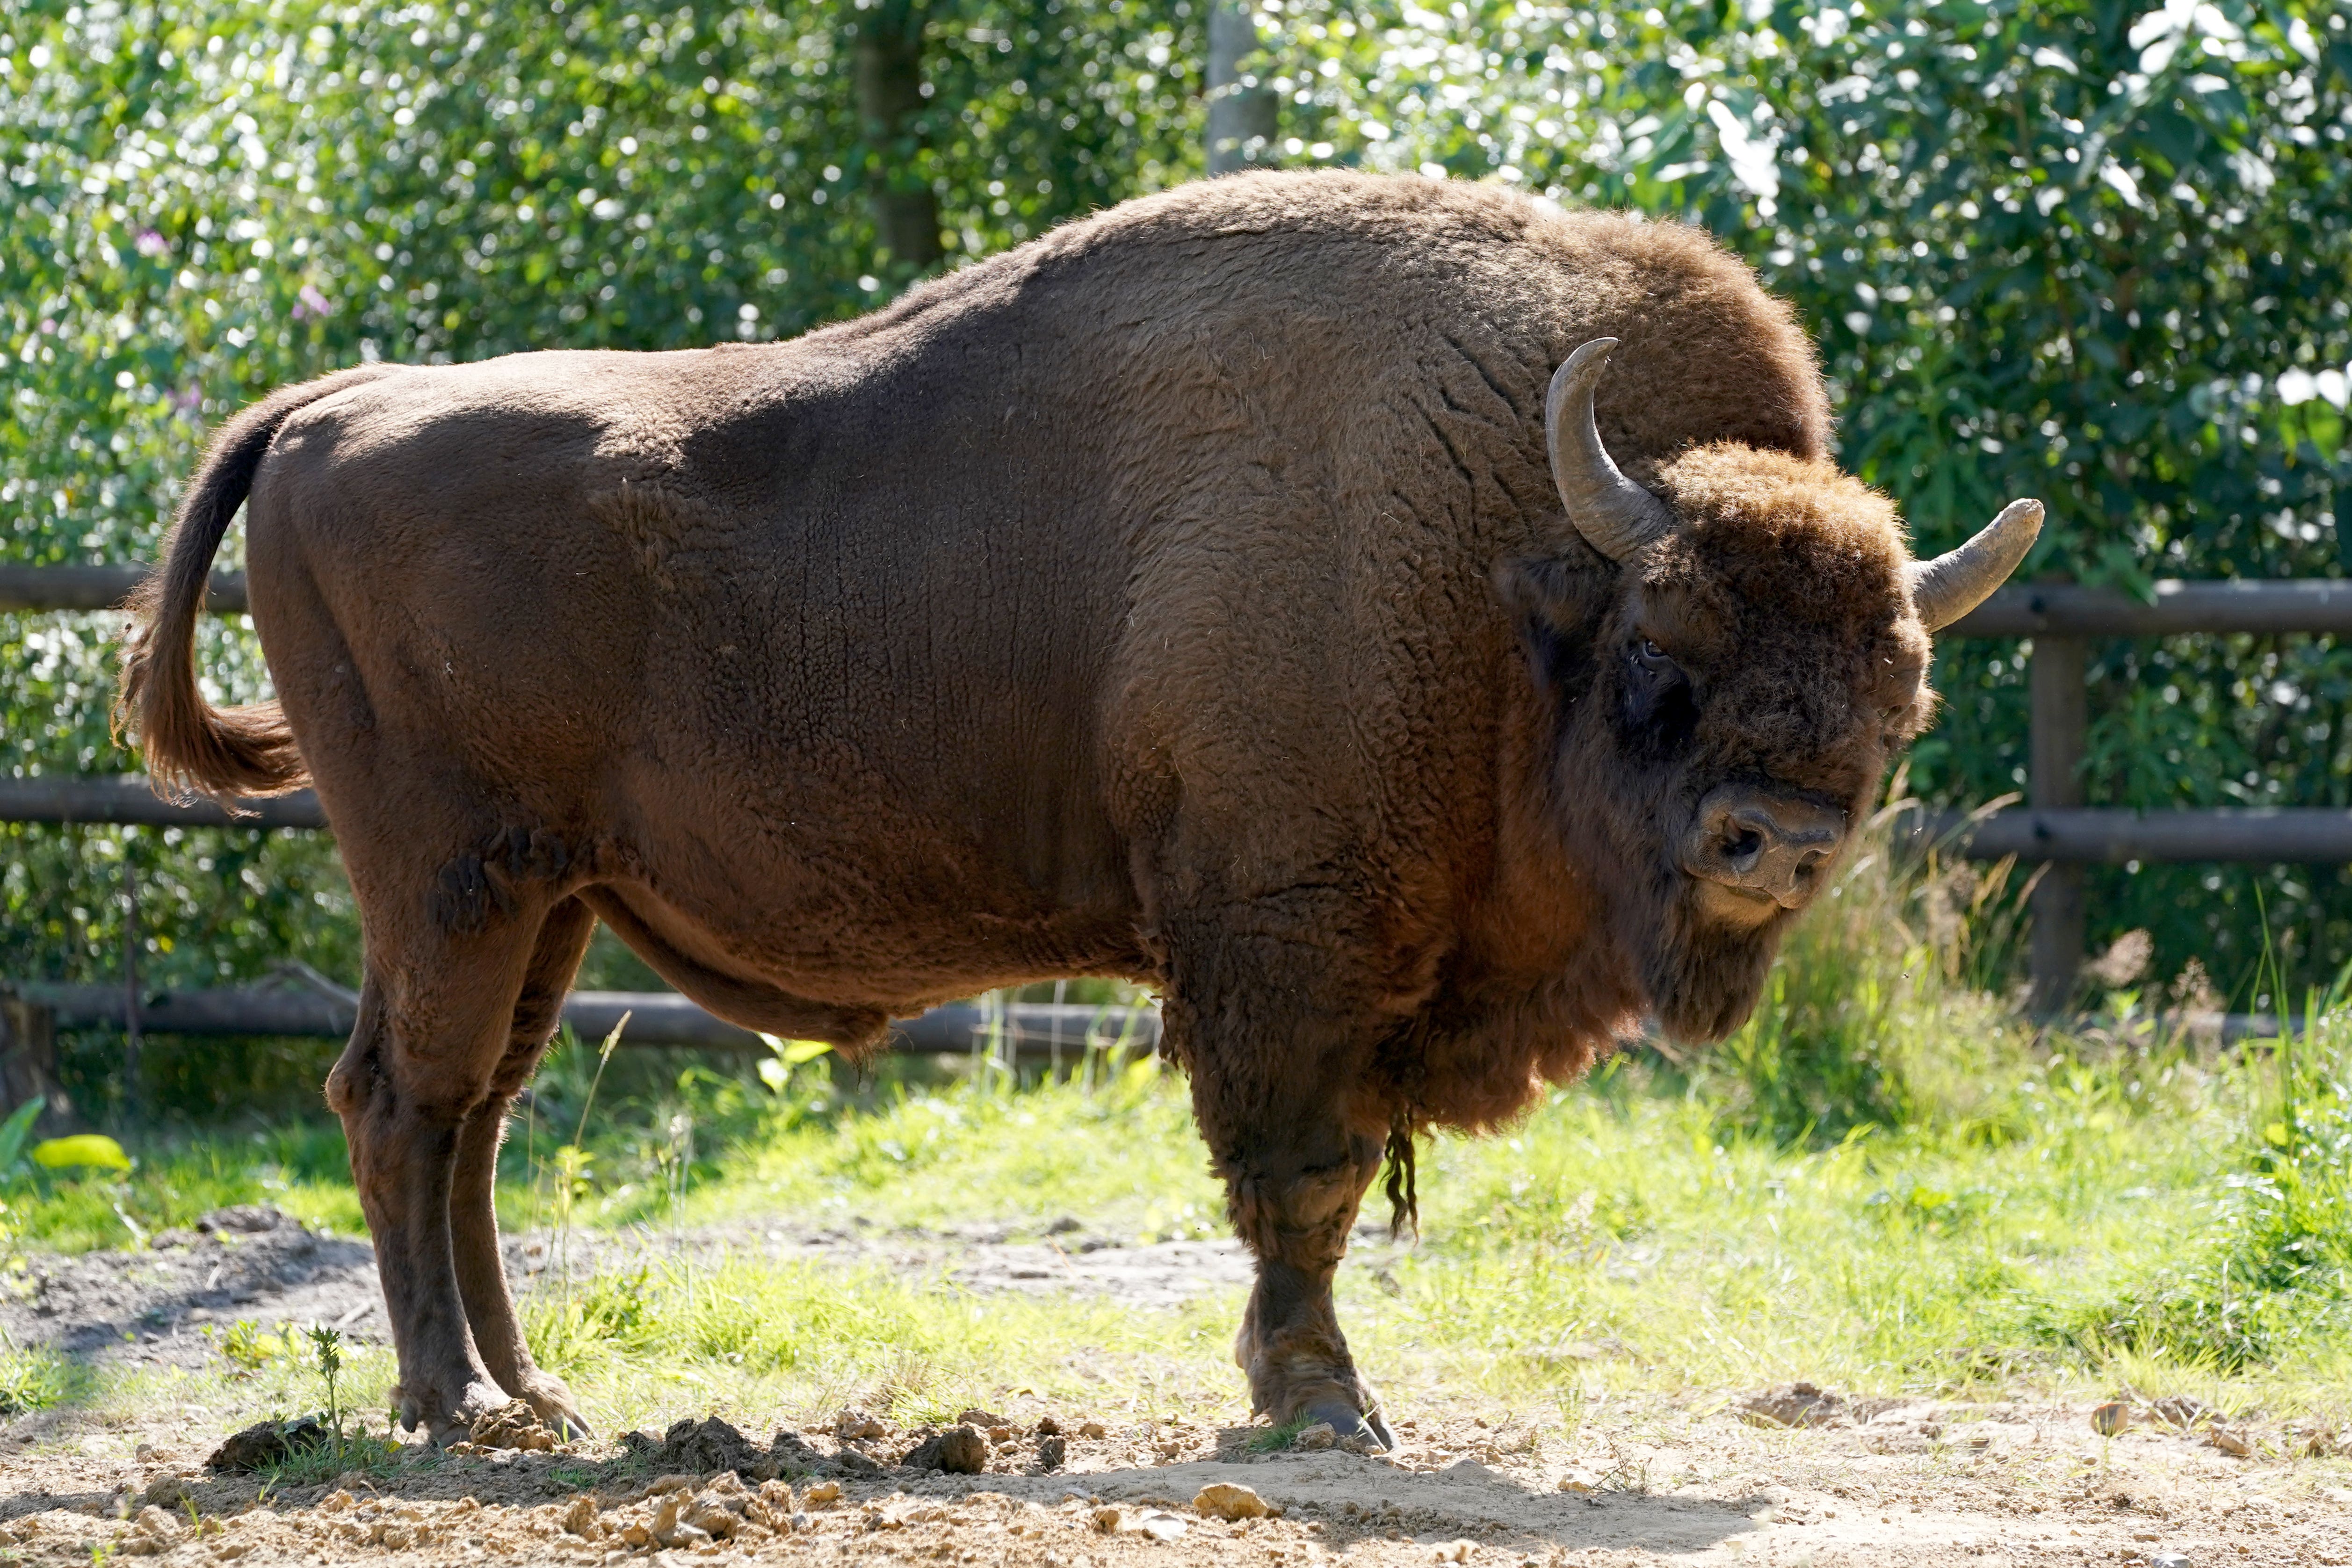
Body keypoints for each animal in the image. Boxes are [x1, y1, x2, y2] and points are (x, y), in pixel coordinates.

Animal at [124, 169, 2041, 1448]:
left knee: (474, 1118)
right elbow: (1302, 1172)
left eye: (1898, 693)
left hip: (548, 899)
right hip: (451, 876)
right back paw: (452, 1404)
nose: (1773, 839)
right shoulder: (1284, 941)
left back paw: (538, 1387)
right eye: (1663, 655)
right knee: (400, 1099)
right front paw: (1319, 1401)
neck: (1513, 571)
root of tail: (337, 403)